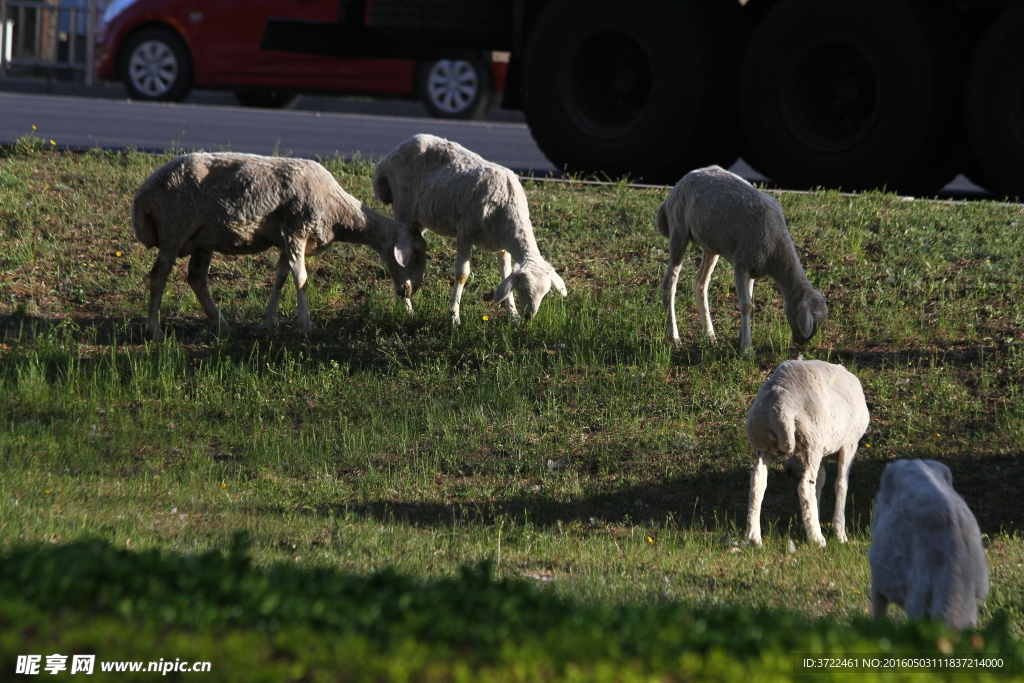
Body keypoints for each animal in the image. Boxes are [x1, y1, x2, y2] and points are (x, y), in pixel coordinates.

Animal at [133, 151, 428, 339]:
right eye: (416, 254)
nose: (410, 291)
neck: (338, 212)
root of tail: (143, 195)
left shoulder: (288, 239)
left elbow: (281, 277)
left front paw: (269, 319)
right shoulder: (297, 229)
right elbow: (301, 278)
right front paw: (306, 323)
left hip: (202, 239)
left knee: (196, 278)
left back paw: (222, 325)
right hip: (174, 227)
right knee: (159, 275)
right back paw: (154, 330)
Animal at [374, 135, 569, 327]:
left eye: (545, 293)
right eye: (522, 290)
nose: (529, 316)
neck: (508, 204)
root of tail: (388, 157)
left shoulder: (502, 247)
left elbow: (505, 276)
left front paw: (513, 316)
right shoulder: (465, 233)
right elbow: (462, 274)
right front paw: (454, 317)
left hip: (419, 220)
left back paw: (401, 300)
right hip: (403, 207)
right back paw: (407, 309)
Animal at [659, 164, 827, 352]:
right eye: (812, 321)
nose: (801, 342)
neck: (776, 253)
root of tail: (680, 183)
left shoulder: (753, 267)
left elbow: (750, 299)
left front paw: (740, 338)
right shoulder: (741, 264)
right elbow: (746, 306)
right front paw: (747, 348)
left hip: (710, 244)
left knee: (701, 283)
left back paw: (709, 334)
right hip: (678, 230)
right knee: (670, 283)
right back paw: (674, 337)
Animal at [741, 360, 868, 548]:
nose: (789, 471)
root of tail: (777, 408)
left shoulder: (823, 453)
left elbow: (820, 482)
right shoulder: (849, 444)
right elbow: (841, 484)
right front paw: (840, 533)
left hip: (763, 444)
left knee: (757, 482)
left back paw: (754, 538)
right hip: (811, 440)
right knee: (805, 486)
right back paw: (818, 539)